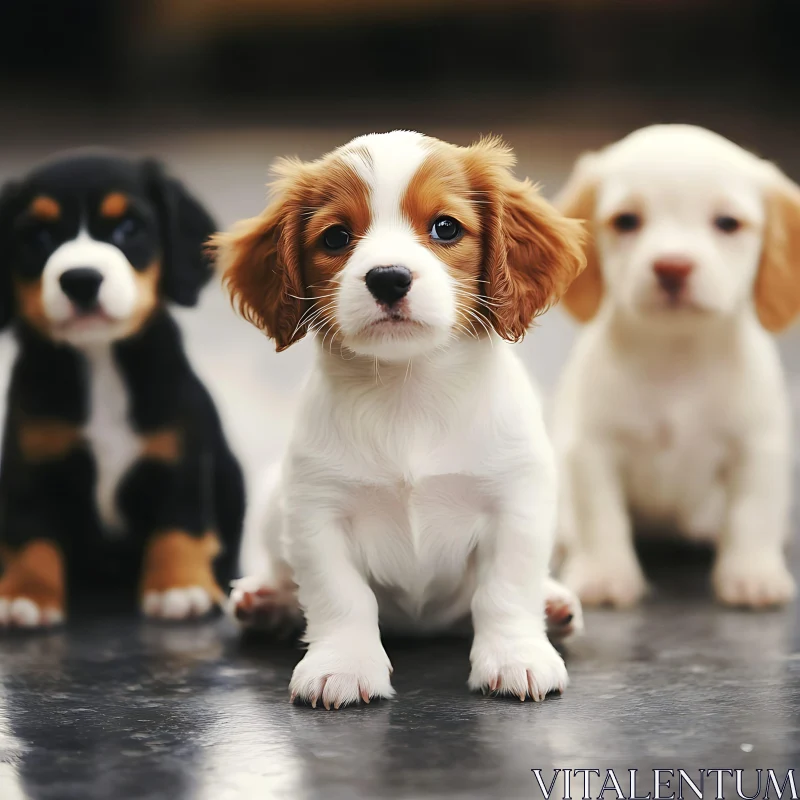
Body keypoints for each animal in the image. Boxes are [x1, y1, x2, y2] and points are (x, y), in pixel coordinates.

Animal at [0, 148, 244, 624]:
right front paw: (26, 595)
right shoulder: (30, 465)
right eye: (38, 236)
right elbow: (28, 534)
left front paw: (178, 587)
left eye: (128, 228)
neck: (100, 361)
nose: (80, 279)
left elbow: (179, 522)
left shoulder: (180, 453)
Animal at [216, 133, 584, 712]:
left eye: (446, 227)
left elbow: (506, 588)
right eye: (336, 236)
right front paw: (342, 665)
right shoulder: (317, 511)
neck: (408, 390)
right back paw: (268, 600)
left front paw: (516, 655)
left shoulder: (517, 500)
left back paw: (553, 605)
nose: (388, 279)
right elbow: (339, 596)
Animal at [552, 123, 800, 608]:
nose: (672, 267)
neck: (676, 356)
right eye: (626, 220)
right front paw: (606, 573)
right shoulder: (590, 448)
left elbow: (752, 514)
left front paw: (752, 574)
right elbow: (600, 518)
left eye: (727, 223)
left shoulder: (757, 448)